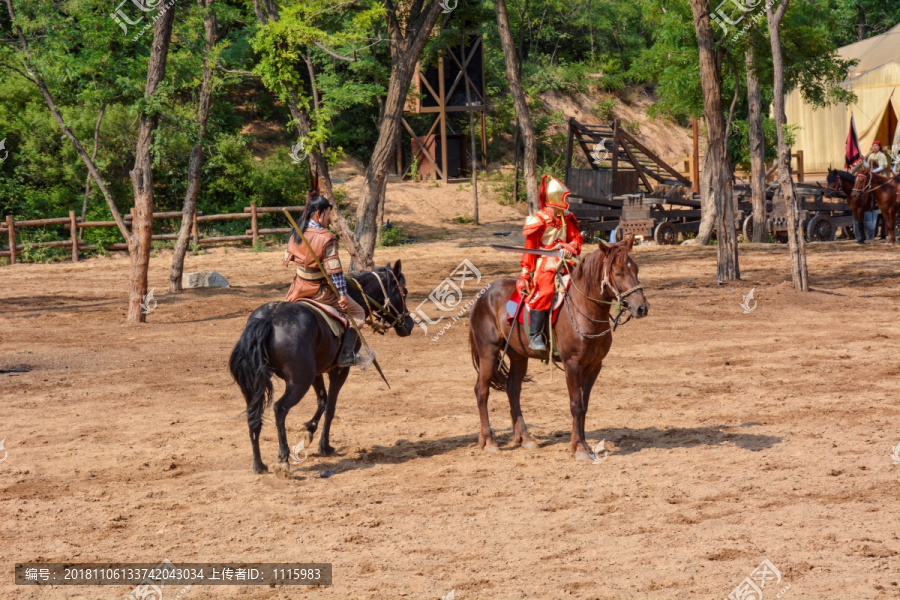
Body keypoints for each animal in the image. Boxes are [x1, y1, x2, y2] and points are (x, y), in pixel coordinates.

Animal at [230, 260, 416, 476]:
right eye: (404, 291)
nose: (409, 324)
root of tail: (269, 318)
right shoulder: (339, 371)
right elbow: (330, 407)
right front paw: (324, 446)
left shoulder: (317, 373)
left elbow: (322, 401)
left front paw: (309, 429)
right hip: (299, 382)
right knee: (280, 409)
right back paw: (283, 458)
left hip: (258, 384)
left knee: (254, 415)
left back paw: (259, 464)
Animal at [468, 234, 652, 460]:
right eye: (618, 272)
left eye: (636, 270)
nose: (642, 307)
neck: (584, 308)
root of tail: (483, 295)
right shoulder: (572, 364)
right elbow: (575, 404)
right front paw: (580, 448)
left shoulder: (594, 365)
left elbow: (584, 405)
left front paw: (581, 444)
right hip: (489, 351)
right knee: (482, 390)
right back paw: (489, 441)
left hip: (518, 355)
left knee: (513, 389)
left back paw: (525, 437)